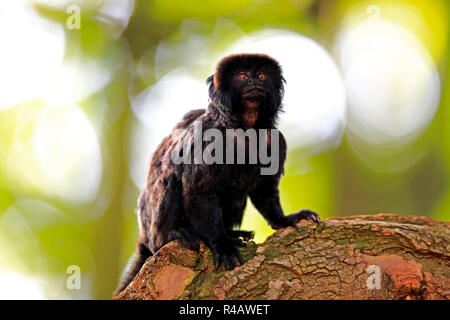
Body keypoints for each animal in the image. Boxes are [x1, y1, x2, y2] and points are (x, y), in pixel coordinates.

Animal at [115, 53, 320, 296]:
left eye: (261, 75)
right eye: (243, 76)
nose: (254, 81)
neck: (245, 130)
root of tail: (144, 236)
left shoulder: (276, 140)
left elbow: (264, 190)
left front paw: (284, 219)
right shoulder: (208, 137)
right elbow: (198, 189)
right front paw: (220, 242)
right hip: (152, 227)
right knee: (171, 177)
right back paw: (175, 232)